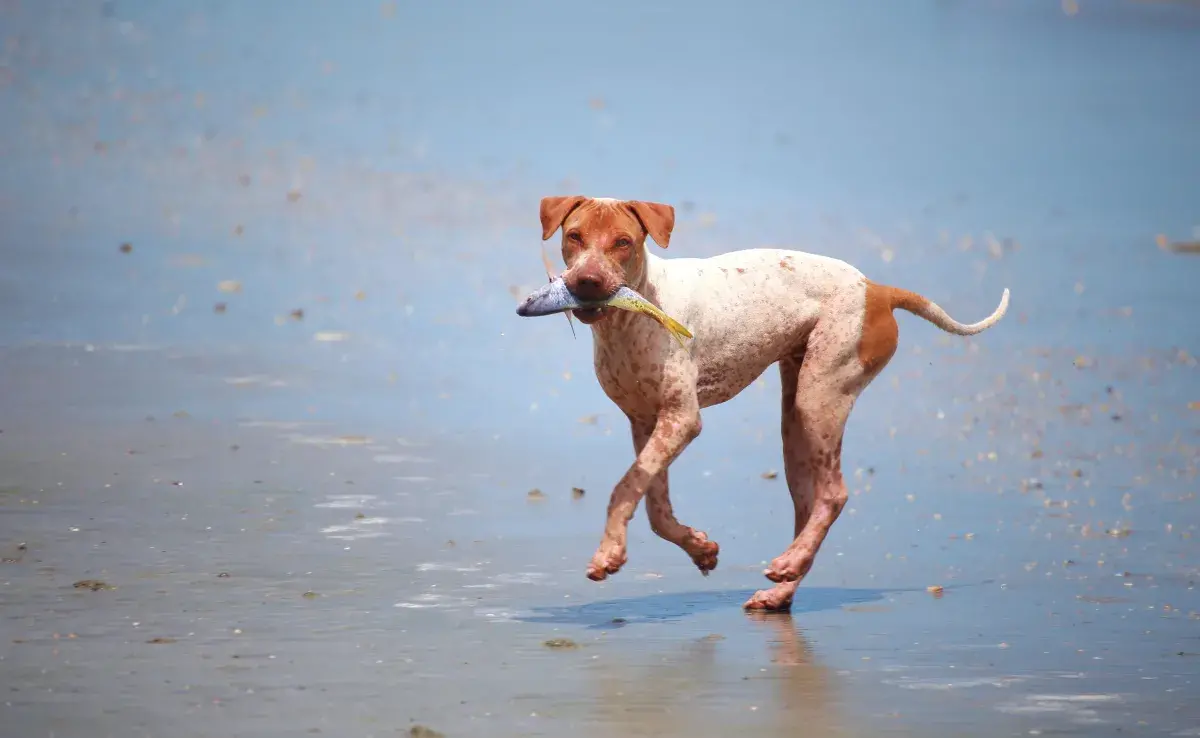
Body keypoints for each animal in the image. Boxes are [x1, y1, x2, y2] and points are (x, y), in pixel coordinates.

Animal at [540, 196, 1008, 612]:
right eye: (574, 236)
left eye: (623, 242)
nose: (586, 282)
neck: (631, 315)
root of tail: (877, 289)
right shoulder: (645, 422)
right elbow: (655, 508)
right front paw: (700, 549)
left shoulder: (682, 419)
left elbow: (624, 489)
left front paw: (607, 555)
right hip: (795, 432)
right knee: (809, 506)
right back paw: (782, 587)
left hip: (818, 399)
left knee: (835, 494)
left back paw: (790, 563)